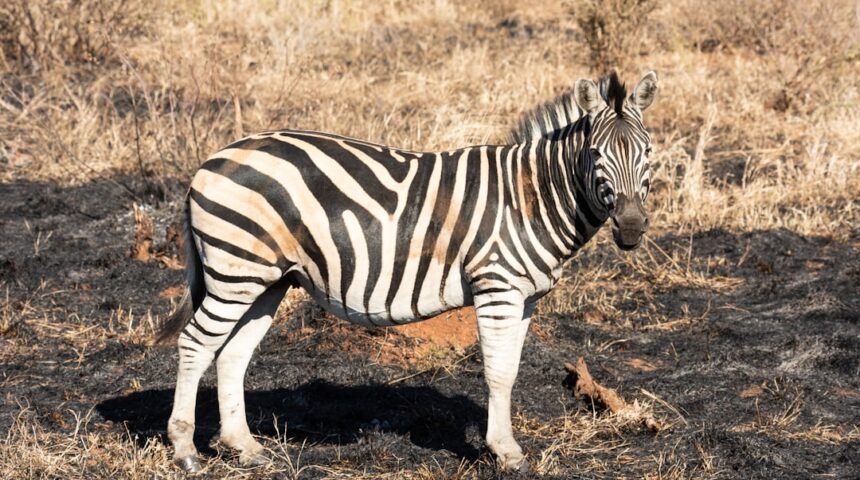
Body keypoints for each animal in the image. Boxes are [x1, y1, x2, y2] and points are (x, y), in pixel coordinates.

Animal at [159, 71, 658, 472]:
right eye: (595, 153)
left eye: (649, 152)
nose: (632, 228)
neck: (530, 196)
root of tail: (212, 160)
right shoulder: (496, 286)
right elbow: (497, 372)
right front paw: (506, 452)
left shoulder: (525, 296)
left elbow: (511, 370)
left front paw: (505, 445)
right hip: (235, 272)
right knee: (195, 344)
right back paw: (185, 450)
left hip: (266, 280)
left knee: (232, 354)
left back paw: (244, 447)